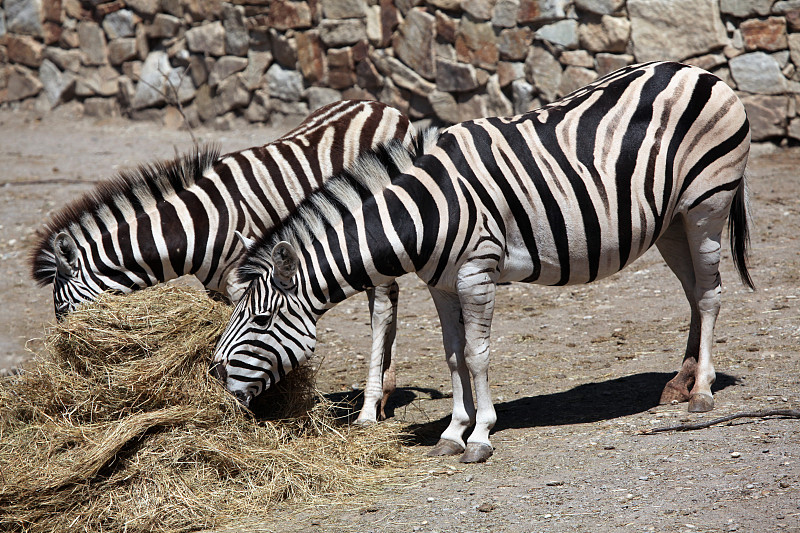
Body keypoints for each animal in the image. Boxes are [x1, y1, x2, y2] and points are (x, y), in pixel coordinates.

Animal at [26, 98, 412, 424]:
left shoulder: (247, 280)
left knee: (381, 309)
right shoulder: (220, 289)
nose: (66, 362)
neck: (198, 226)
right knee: (389, 296)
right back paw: (386, 390)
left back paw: (369, 407)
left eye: (65, 308)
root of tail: (382, 105)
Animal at [212, 61, 756, 462]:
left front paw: (480, 436)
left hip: (707, 204)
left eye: (261, 319)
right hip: (670, 221)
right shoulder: (440, 283)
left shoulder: (476, 273)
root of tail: (699, 70)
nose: (214, 378)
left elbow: (477, 355)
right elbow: (453, 356)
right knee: (692, 293)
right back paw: (679, 383)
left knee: (710, 293)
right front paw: (453, 432)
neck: (423, 212)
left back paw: (702, 391)